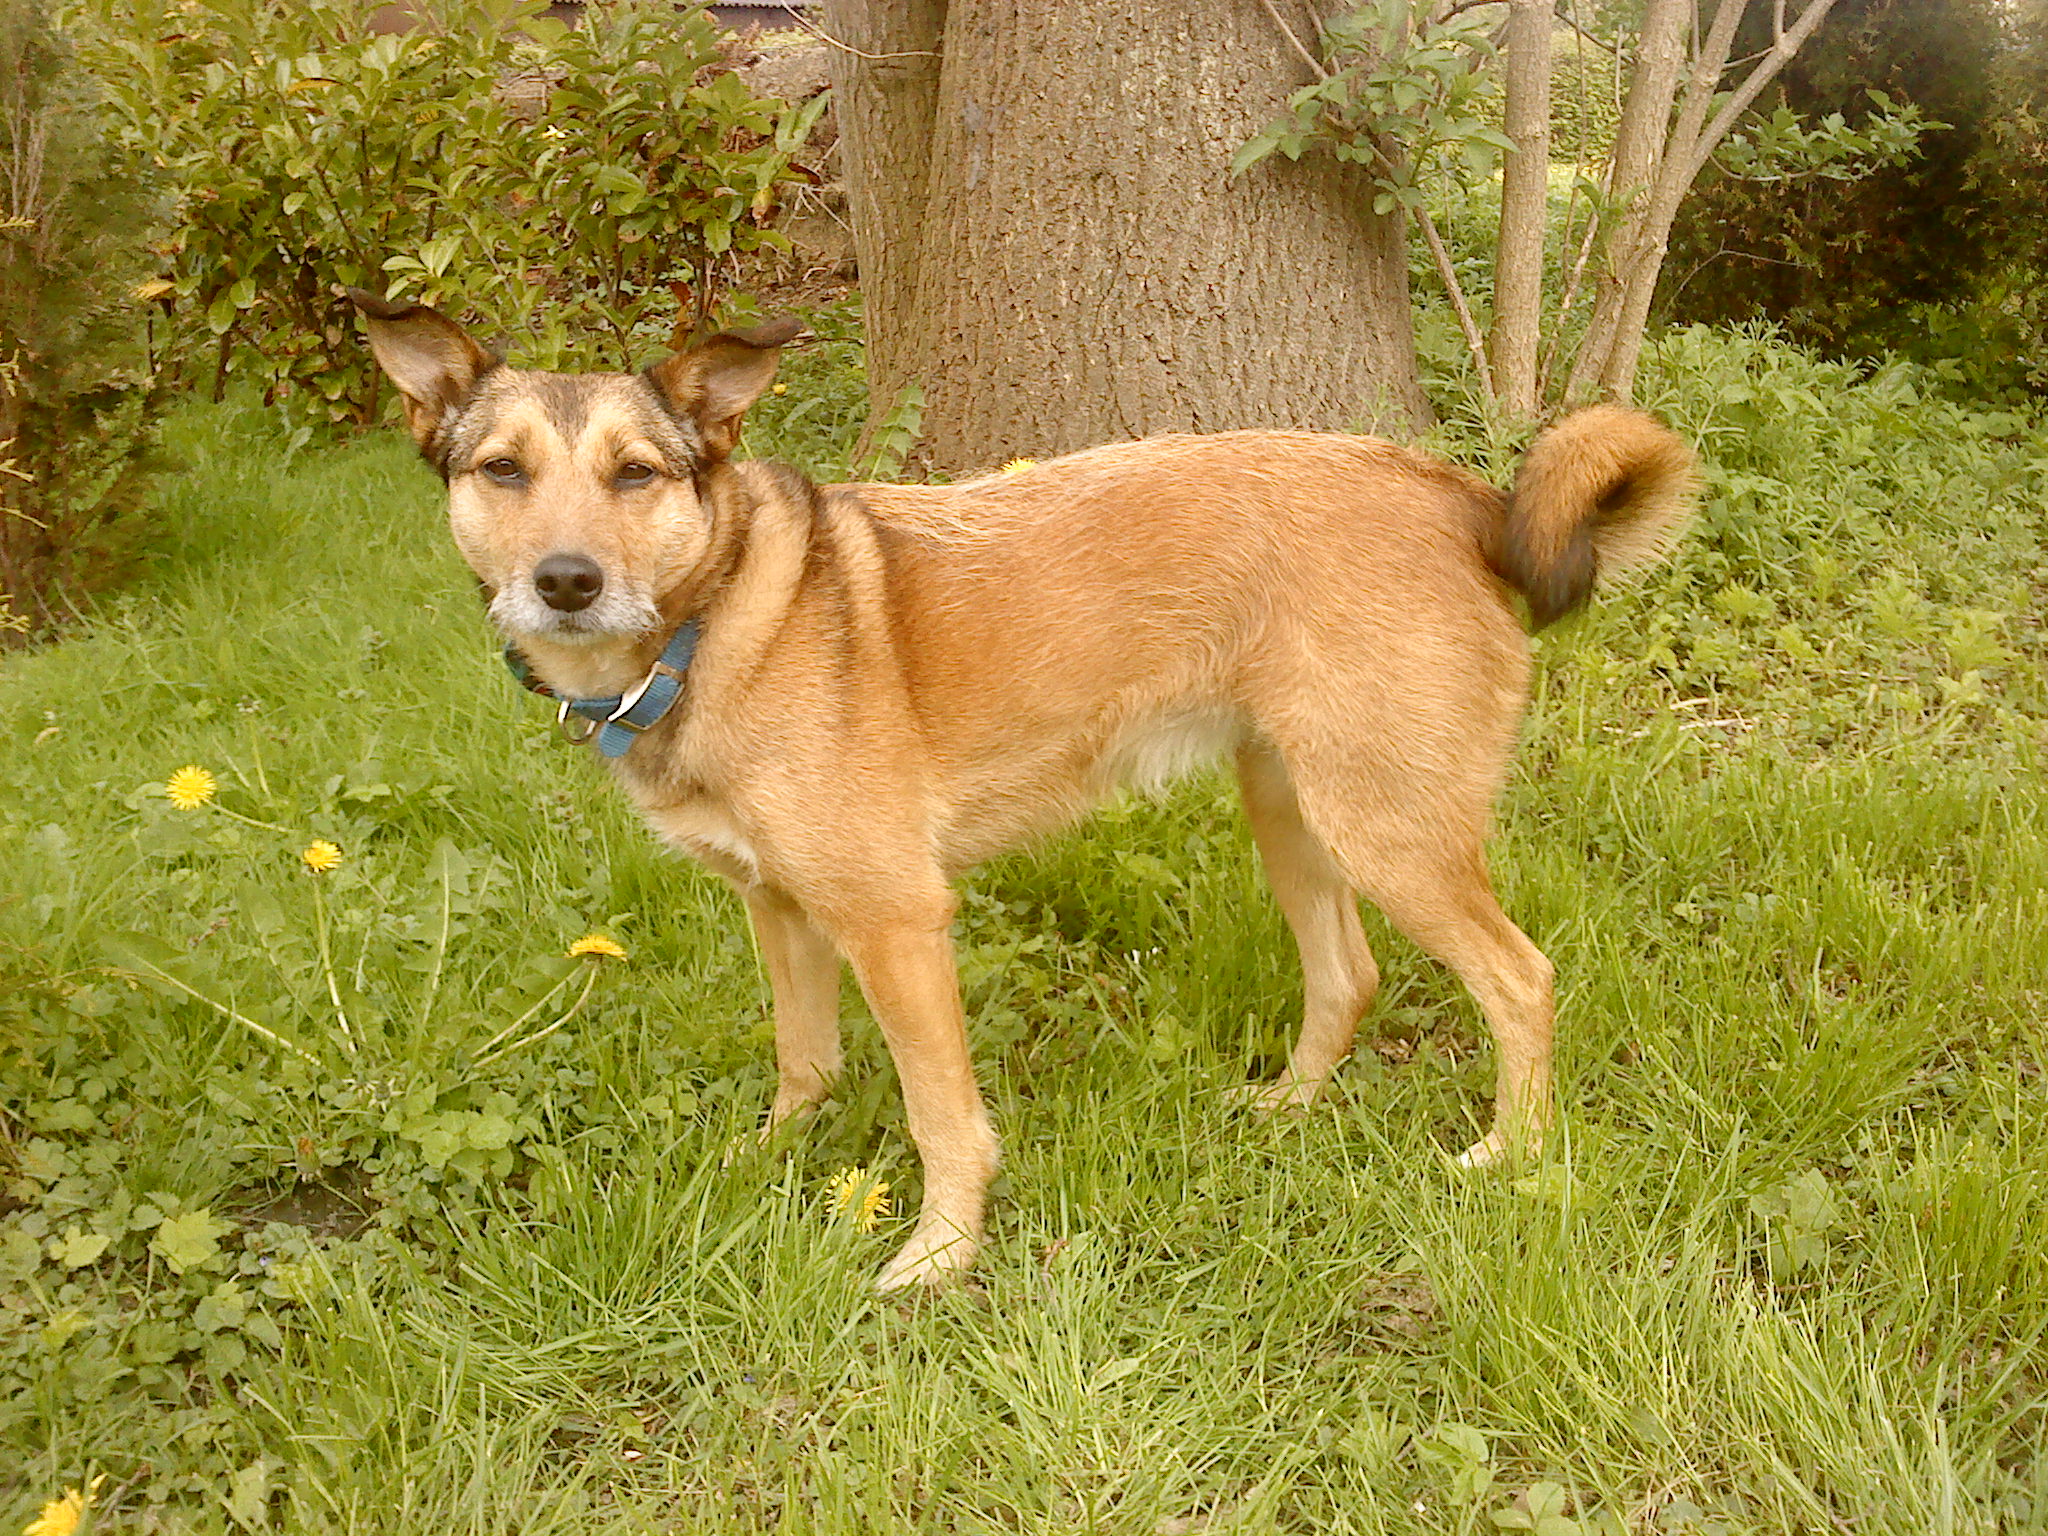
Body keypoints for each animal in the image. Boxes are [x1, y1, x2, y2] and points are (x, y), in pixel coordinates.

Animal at [348, 290, 1695, 1302]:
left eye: (634, 474)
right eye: (501, 470)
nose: (565, 582)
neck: (718, 620)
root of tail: (1455, 490)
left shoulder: (894, 923)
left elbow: (943, 1119)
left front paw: (938, 1256)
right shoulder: (779, 911)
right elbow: (803, 1064)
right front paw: (771, 1160)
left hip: (1386, 831)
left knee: (1520, 980)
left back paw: (1509, 1153)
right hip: (1294, 812)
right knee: (1347, 974)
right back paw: (1285, 1108)